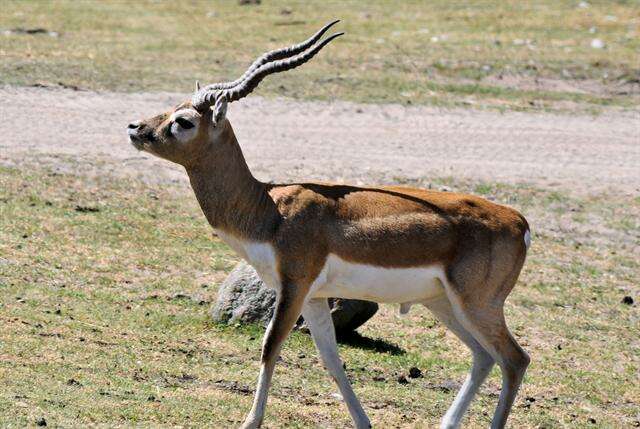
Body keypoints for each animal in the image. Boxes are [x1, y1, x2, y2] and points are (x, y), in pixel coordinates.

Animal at [126, 20, 528, 428]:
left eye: (184, 121)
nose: (134, 127)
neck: (269, 208)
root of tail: (519, 222)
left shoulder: (294, 285)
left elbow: (270, 347)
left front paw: (249, 421)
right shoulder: (315, 297)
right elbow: (332, 361)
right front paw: (363, 422)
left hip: (476, 304)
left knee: (514, 359)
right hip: (443, 303)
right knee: (484, 357)